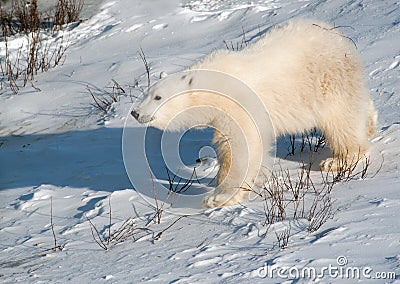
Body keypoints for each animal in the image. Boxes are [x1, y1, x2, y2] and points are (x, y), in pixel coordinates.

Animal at [132, 18, 378, 207]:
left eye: (158, 97)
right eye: (146, 93)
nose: (135, 112)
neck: (216, 84)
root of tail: (337, 36)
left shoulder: (238, 106)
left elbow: (241, 146)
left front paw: (218, 197)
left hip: (325, 78)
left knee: (339, 117)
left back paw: (338, 159)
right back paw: (370, 123)